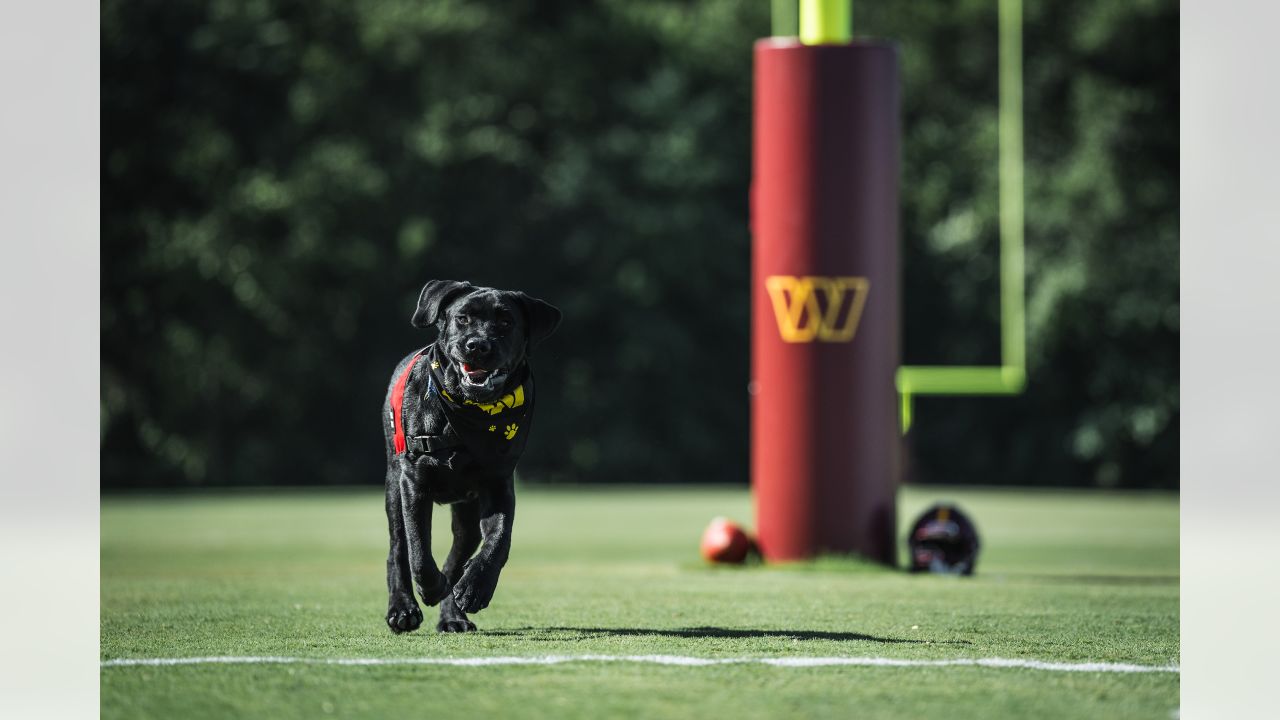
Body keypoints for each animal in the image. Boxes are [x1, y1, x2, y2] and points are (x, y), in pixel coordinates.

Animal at [378, 278, 560, 630]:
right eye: (462, 318)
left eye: (505, 322)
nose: (477, 345)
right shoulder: (413, 482)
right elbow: (418, 548)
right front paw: (429, 589)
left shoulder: (498, 483)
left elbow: (499, 540)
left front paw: (476, 589)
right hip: (394, 488)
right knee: (398, 548)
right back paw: (403, 608)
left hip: (466, 514)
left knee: (456, 558)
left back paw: (452, 614)